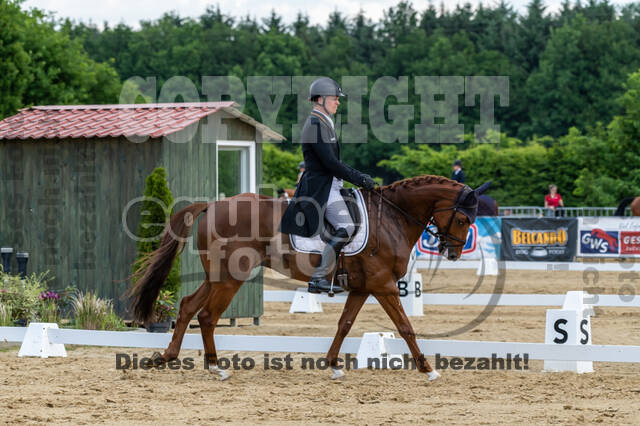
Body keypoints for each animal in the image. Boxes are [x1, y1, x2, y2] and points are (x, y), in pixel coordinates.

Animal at [128, 175, 489, 381]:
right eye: (462, 219)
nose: (453, 253)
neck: (391, 217)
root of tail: (214, 205)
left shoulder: (363, 287)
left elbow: (344, 324)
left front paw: (333, 364)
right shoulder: (383, 285)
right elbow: (405, 327)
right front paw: (429, 370)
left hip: (217, 275)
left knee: (188, 306)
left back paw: (166, 357)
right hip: (231, 276)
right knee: (206, 316)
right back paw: (217, 368)